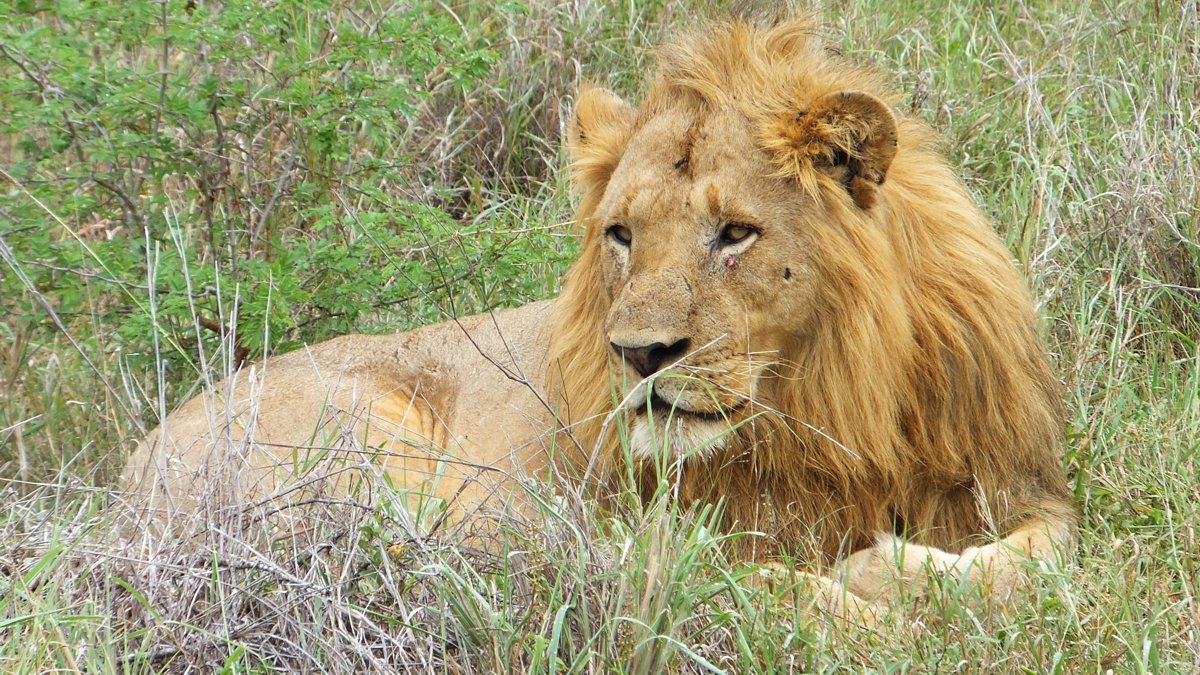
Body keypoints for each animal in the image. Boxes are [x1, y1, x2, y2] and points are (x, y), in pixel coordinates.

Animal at [123, 14, 1076, 615]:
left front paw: (904, 572)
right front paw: (871, 599)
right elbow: (746, 581)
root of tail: (123, 474)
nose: (640, 354)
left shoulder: (1019, 484)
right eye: (622, 234)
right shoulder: (665, 524)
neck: (827, 398)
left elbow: (1036, 561)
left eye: (735, 232)